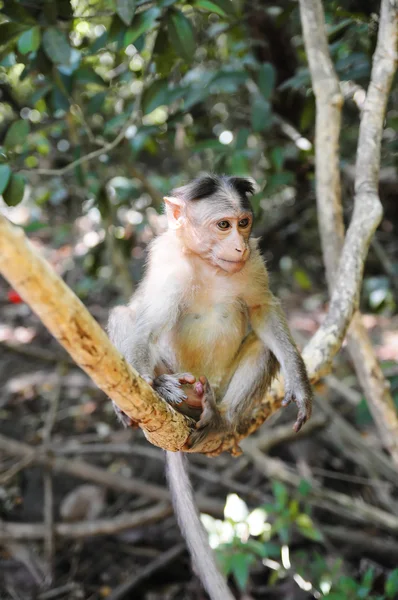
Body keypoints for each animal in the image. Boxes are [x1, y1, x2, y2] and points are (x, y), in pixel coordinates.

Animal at [107, 175, 312, 600]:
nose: (238, 245)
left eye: (244, 223)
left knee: (262, 348)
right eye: (223, 225)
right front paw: (150, 386)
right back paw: (168, 391)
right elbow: (143, 324)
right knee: (125, 315)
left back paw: (221, 418)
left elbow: (262, 309)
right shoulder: (170, 269)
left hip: (219, 386)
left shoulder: (253, 263)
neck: (207, 262)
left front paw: (299, 382)